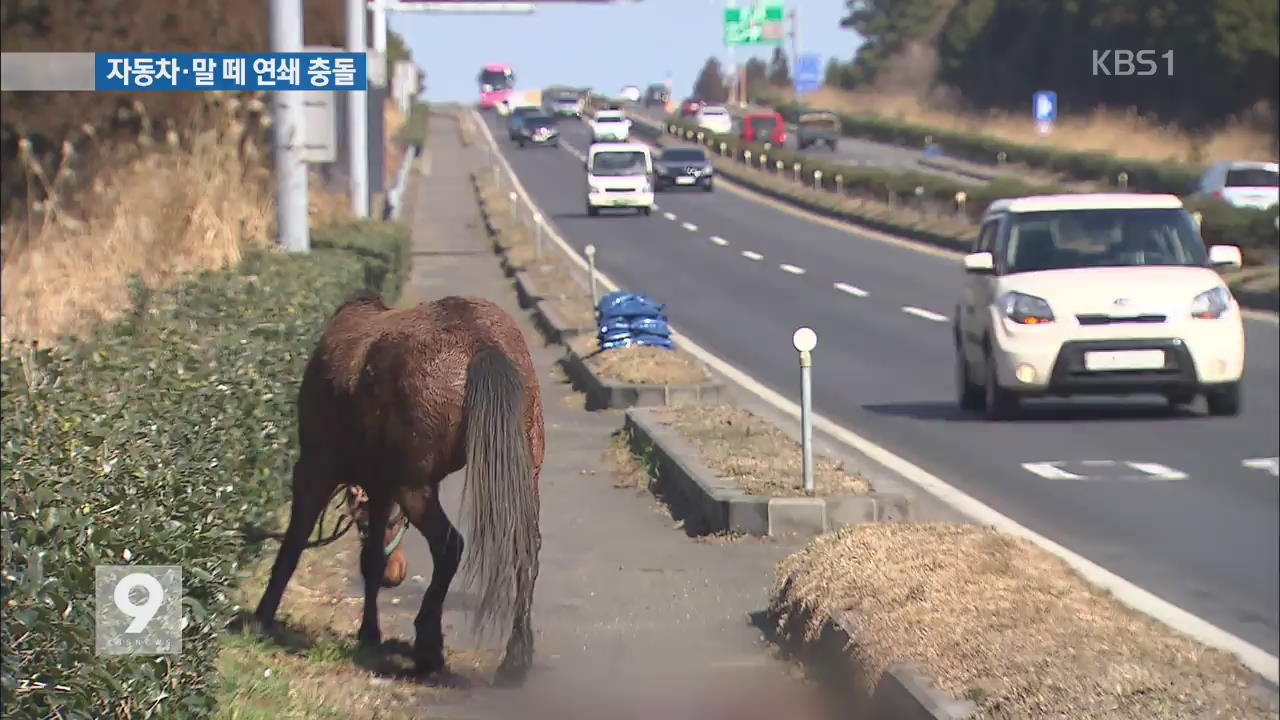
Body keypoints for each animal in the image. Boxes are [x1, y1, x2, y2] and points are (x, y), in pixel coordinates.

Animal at [250, 288, 545, 681]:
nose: (398, 573)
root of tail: (483, 344)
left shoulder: (317, 469)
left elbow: (295, 542)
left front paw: (261, 617)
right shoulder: (381, 488)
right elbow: (372, 558)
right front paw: (369, 632)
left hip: (413, 487)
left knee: (449, 546)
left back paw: (428, 649)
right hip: (521, 473)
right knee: (523, 549)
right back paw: (514, 659)